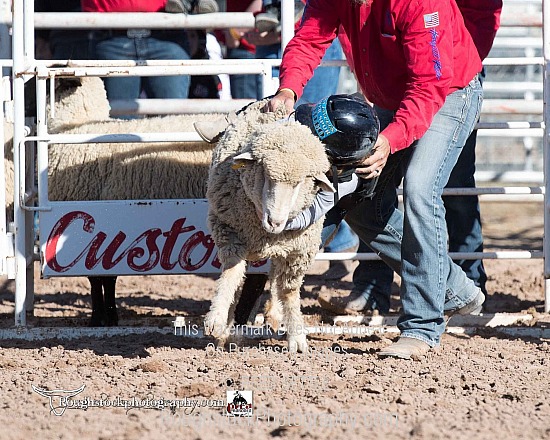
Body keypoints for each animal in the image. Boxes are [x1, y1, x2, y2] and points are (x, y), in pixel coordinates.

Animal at [205, 101, 334, 352]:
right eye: (265, 172)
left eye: (299, 183)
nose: (275, 222)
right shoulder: (228, 232)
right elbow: (232, 273)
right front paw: (218, 320)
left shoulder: (299, 250)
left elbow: (289, 291)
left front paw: (297, 337)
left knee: (275, 277)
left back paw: (274, 314)